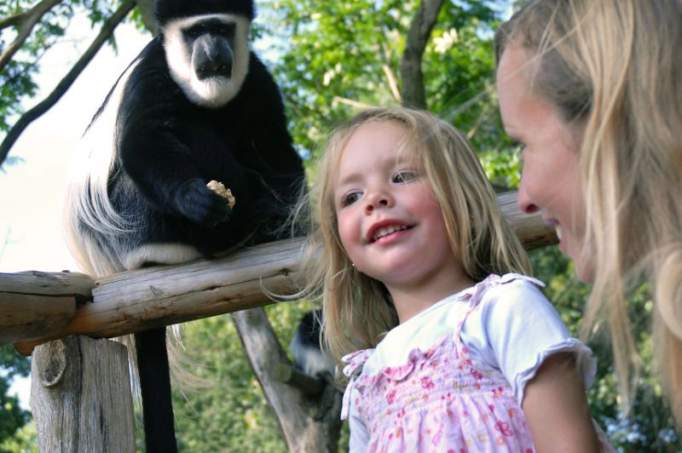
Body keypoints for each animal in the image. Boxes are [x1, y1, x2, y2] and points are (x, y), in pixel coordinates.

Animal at [63, 1, 302, 450]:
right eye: (194, 33)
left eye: (221, 28)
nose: (212, 50)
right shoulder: (154, 72)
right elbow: (144, 137)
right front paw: (195, 198)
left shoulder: (257, 79)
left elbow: (275, 144)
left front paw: (298, 217)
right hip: (132, 220)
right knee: (179, 132)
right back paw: (238, 226)